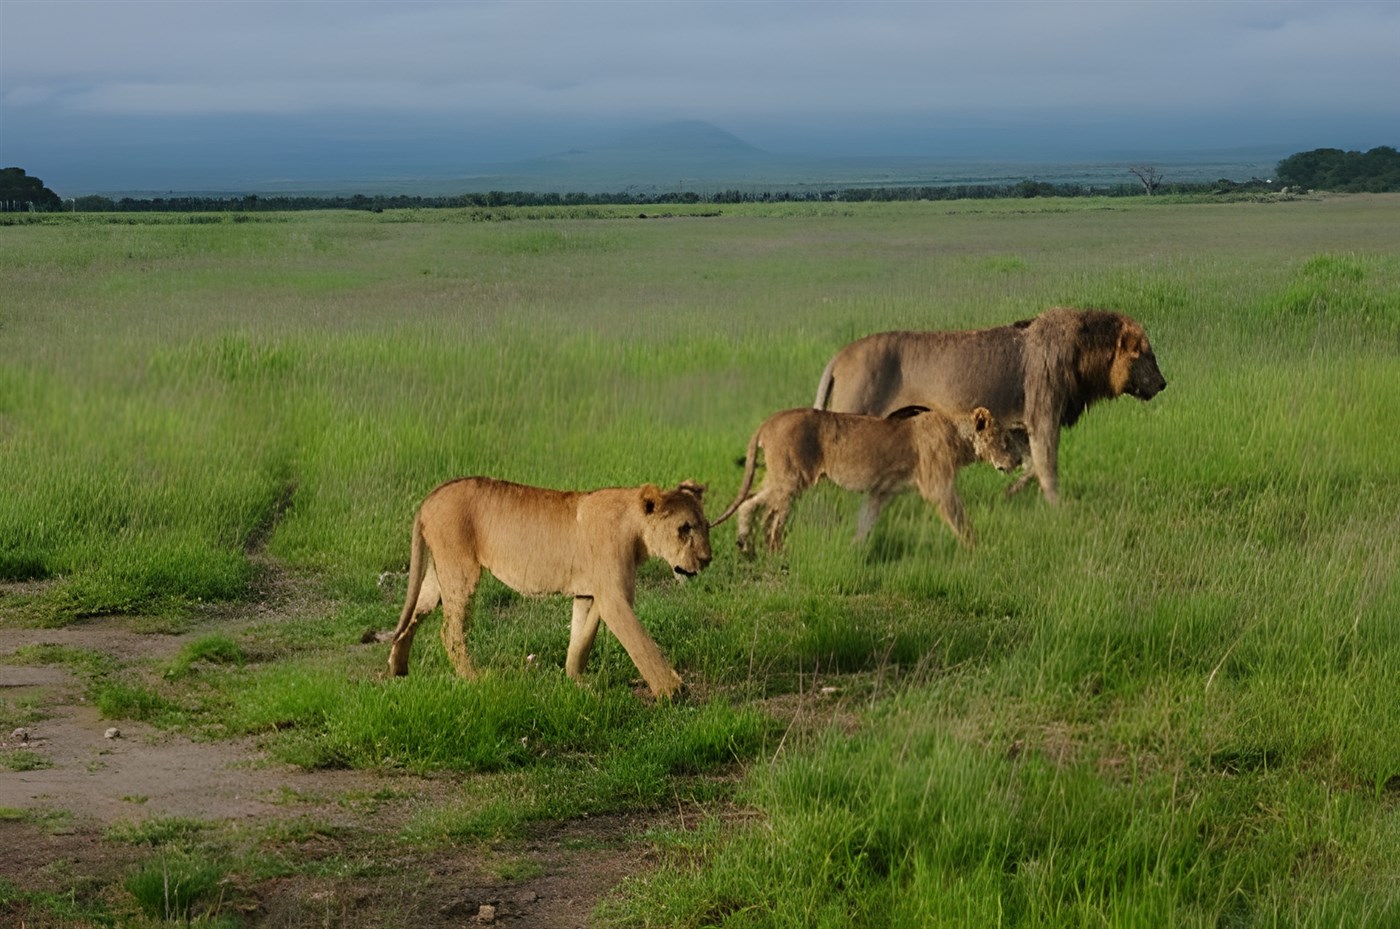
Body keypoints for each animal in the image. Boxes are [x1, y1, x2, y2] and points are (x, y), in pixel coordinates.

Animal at [386, 477, 711, 698]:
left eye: (706, 526)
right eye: (684, 529)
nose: (707, 559)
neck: (635, 527)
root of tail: (431, 497)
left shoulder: (589, 594)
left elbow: (581, 641)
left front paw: (576, 680)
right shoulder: (614, 598)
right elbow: (641, 644)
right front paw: (673, 691)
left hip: (437, 575)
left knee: (413, 614)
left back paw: (398, 668)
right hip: (460, 571)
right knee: (450, 631)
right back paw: (473, 678)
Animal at [710, 405, 1024, 553]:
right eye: (1005, 440)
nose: (1019, 460)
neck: (959, 436)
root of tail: (770, 420)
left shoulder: (881, 492)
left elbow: (866, 521)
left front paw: (854, 550)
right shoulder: (940, 488)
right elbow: (961, 521)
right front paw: (979, 549)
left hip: (782, 478)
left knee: (766, 512)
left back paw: (761, 548)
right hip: (790, 479)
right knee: (754, 507)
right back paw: (757, 547)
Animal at [813, 307, 1166, 505]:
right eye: (1145, 354)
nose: (1163, 383)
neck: (1084, 352)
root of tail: (840, 355)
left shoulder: (1022, 426)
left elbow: (1031, 465)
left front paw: (1010, 493)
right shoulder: (1043, 416)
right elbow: (1048, 467)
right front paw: (1059, 508)